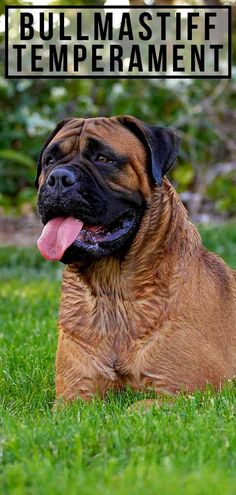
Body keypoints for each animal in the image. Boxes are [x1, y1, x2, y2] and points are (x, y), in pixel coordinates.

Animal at [35, 116, 236, 404]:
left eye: (103, 158)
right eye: (50, 160)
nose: (59, 178)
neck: (112, 292)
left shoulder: (187, 393)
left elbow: (136, 406)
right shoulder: (74, 394)